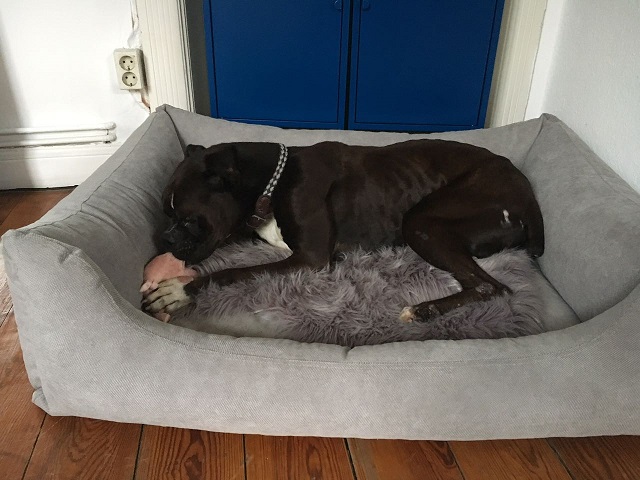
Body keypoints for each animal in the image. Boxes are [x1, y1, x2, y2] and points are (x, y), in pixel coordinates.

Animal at [143, 140, 544, 322]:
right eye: (165, 212)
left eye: (190, 219)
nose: (165, 239)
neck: (273, 181)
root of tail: (527, 190)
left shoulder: (311, 258)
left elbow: (232, 272)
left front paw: (178, 290)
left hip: (422, 224)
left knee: (491, 286)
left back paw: (423, 310)